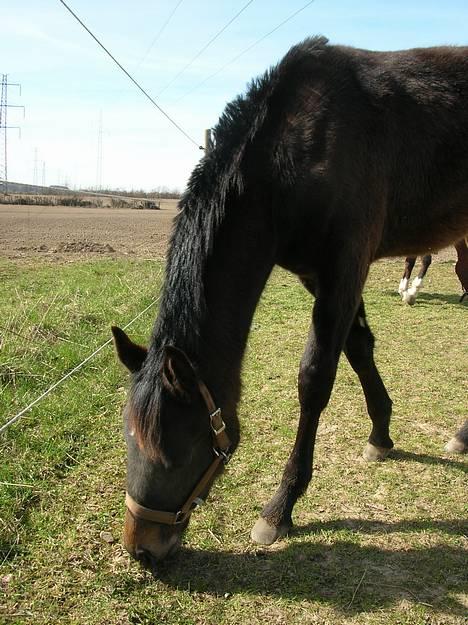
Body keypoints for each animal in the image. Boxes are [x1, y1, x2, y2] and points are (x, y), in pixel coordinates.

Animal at [110, 36, 468, 568]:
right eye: (129, 440)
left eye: (179, 448)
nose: (142, 549)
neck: (293, 152)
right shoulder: (317, 276)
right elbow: (358, 349)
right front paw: (380, 435)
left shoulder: (346, 266)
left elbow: (315, 379)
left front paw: (281, 506)